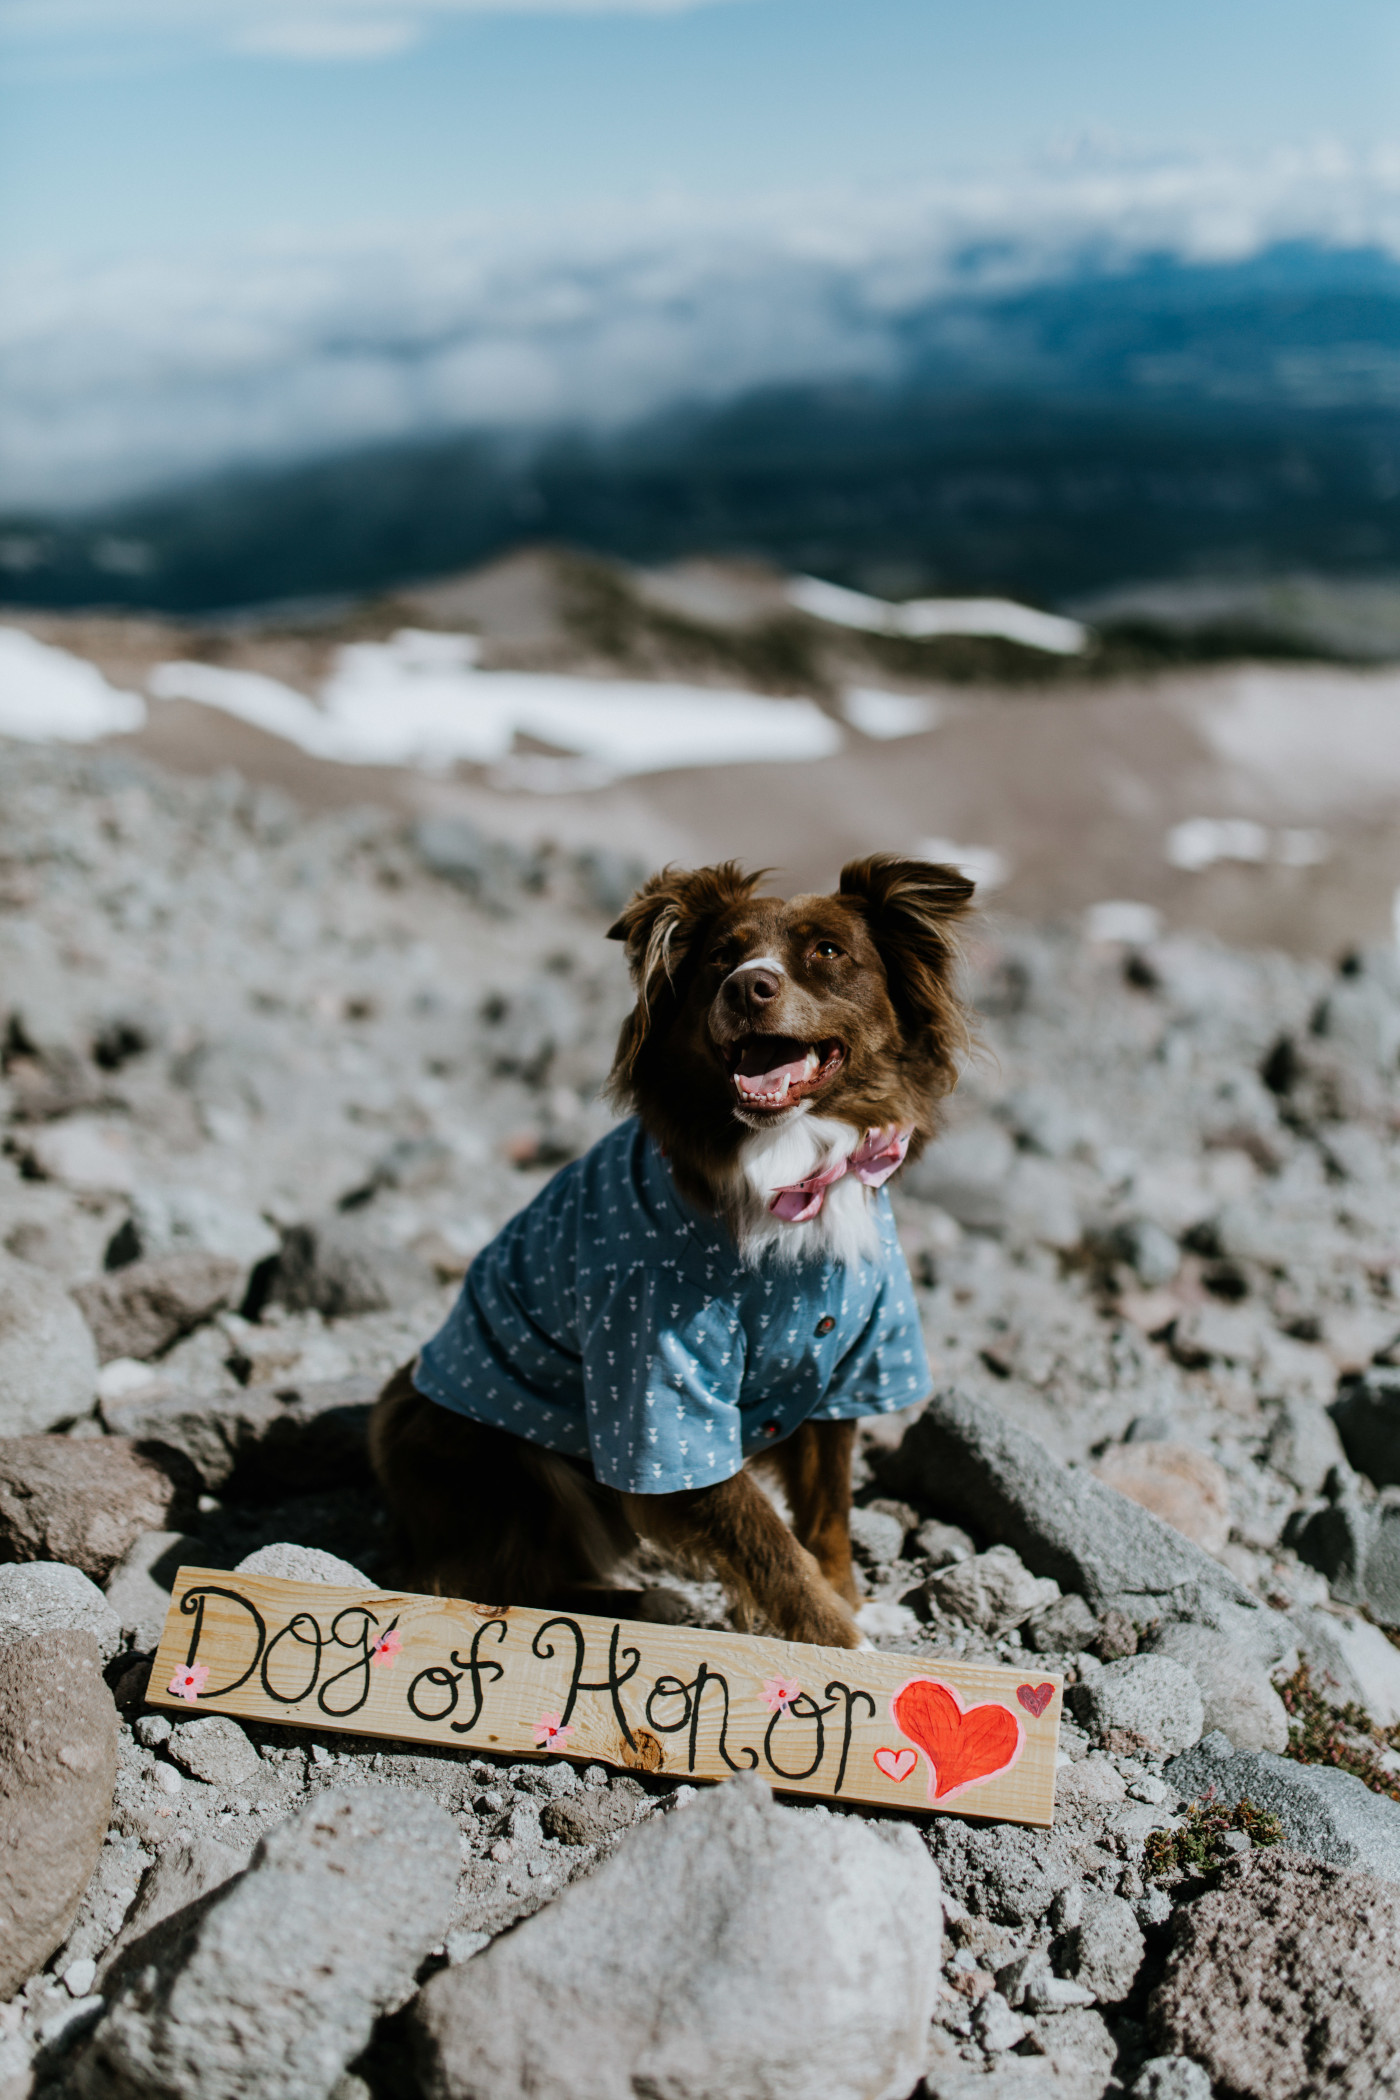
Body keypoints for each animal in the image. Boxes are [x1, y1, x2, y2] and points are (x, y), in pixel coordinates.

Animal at [371, 860, 973, 1646]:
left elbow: (828, 1512)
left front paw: (856, 1603)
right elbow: (770, 1544)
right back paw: (647, 1603)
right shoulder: (659, 1399)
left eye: (829, 952)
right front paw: (845, 1644)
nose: (747, 986)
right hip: (496, 1458)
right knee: (494, 1583)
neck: (788, 1169)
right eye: (721, 957)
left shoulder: (846, 1361)